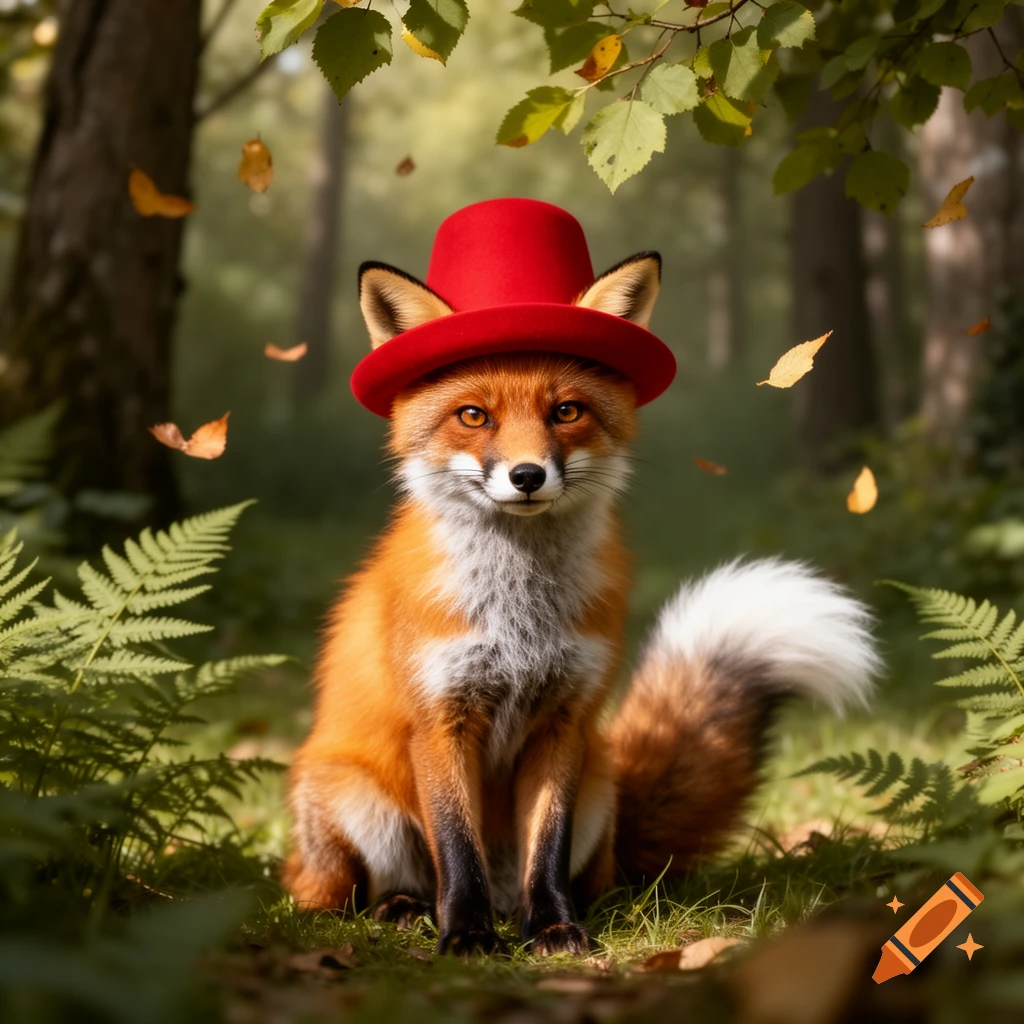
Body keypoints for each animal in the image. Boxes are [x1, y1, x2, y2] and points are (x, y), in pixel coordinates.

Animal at [283, 246, 880, 957]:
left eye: (566, 412)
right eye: (473, 416)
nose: (527, 475)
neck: (520, 618)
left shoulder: (563, 720)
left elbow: (549, 845)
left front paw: (554, 928)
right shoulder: (440, 720)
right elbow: (457, 849)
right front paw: (466, 936)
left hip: (598, 784)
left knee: (584, 878)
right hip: (353, 798)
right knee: (355, 895)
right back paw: (405, 909)